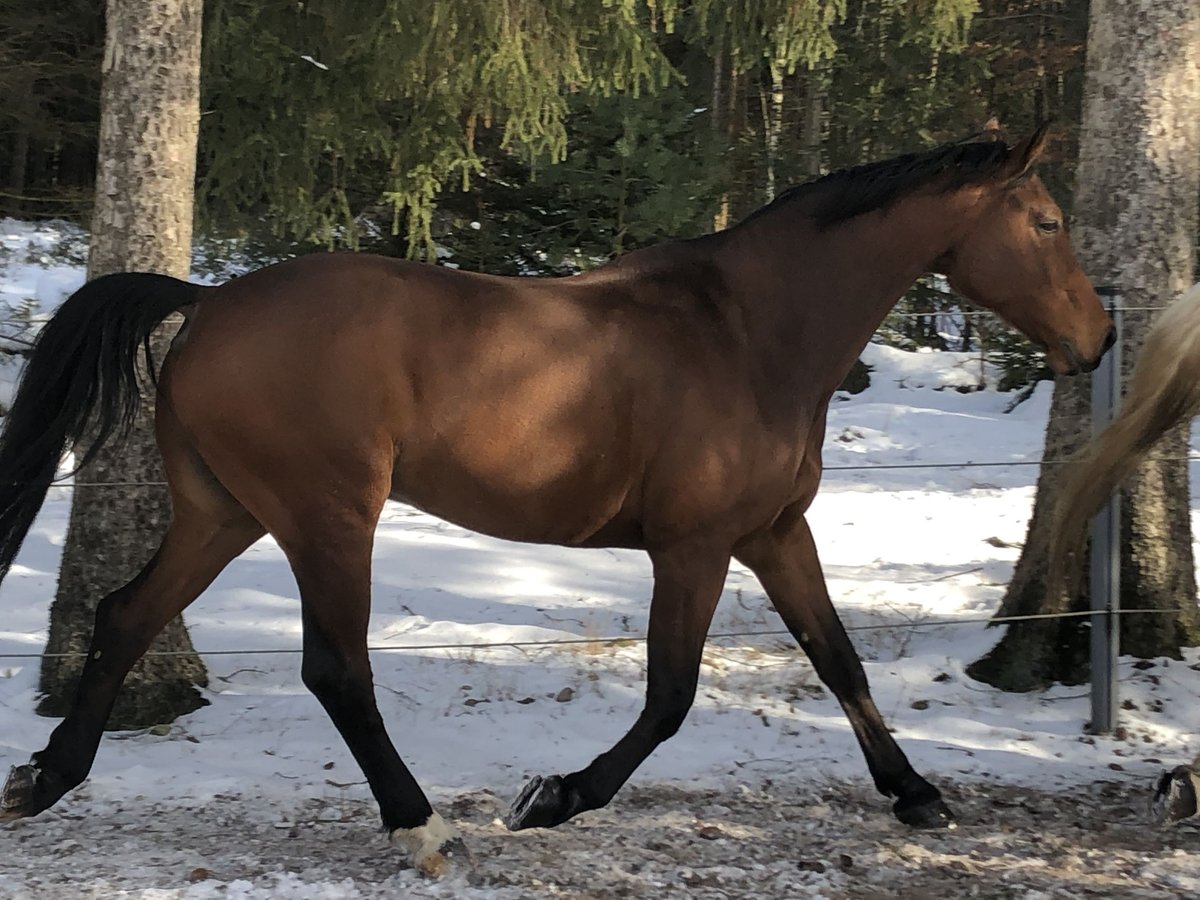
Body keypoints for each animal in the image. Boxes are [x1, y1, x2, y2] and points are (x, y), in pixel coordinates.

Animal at [0, 125, 1108, 873]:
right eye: (1048, 221)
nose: (1096, 341)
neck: (748, 333)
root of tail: (207, 303)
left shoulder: (774, 532)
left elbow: (839, 660)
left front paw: (916, 793)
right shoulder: (695, 546)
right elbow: (670, 695)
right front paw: (556, 797)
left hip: (225, 512)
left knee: (125, 615)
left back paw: (44, 780)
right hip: (327, 517)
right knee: (335, 668)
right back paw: (421, 827)